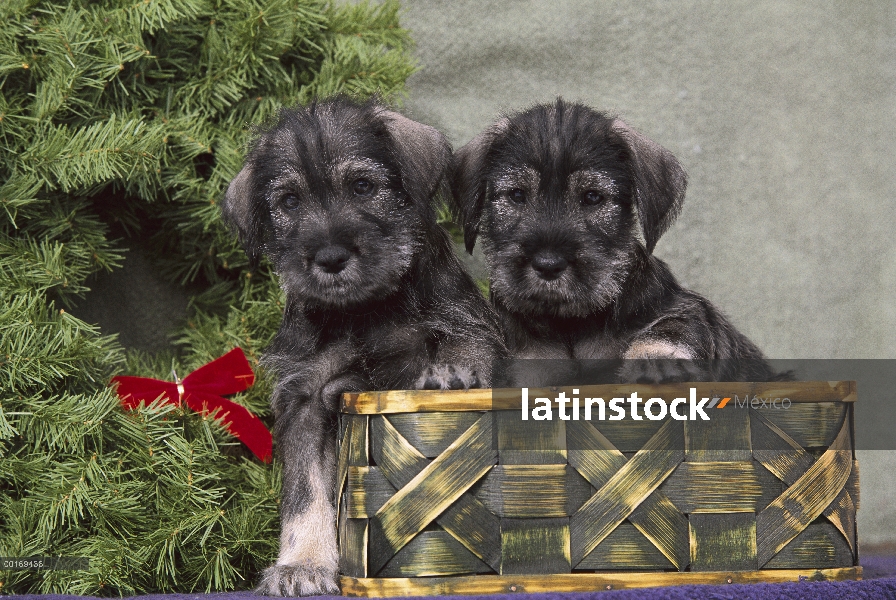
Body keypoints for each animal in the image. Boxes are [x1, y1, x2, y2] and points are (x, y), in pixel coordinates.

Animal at [221, 97, 508, 596]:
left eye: (362, 186)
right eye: (289, 201)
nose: (330, 257)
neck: (364, 313)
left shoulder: (471, 329)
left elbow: (464, 351)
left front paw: (448, 375)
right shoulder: (306, 399)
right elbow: (305, 494)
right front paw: (303, 564)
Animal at [452, 97, 772, 380]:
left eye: (593, 197)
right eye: (517, 195)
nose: (548, 264)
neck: (569, 325)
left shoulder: (684, 307)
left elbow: (673, 326)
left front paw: (656, 359)